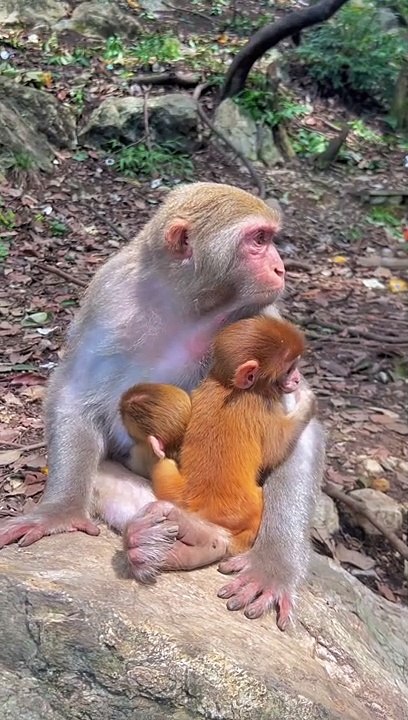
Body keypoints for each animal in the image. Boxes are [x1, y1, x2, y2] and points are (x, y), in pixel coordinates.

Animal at [121, 316, 316, 556]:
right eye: (289, 370)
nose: (297, 379)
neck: (227, 385)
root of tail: (196, 504)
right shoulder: (262, 405)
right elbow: (274, 451)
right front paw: (307, 404)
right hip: (241, 510)